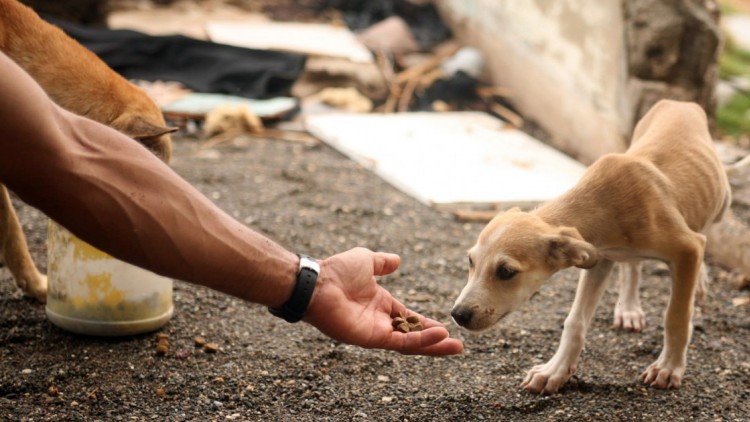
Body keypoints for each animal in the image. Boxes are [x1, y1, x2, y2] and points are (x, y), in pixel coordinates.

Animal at [452, 100, 736, 394]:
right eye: (471, 262)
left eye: (506, 272)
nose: (458, 315)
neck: (603, 202)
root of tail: (680, 102)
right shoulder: (599, 258)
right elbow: (574, 321)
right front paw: (555, 371)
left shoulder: (687, 248)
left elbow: (676, 315)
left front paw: (668, 367)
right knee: (633, 266)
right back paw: (629, 308)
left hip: (721, 201)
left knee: (705, 228)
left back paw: (698, 281)